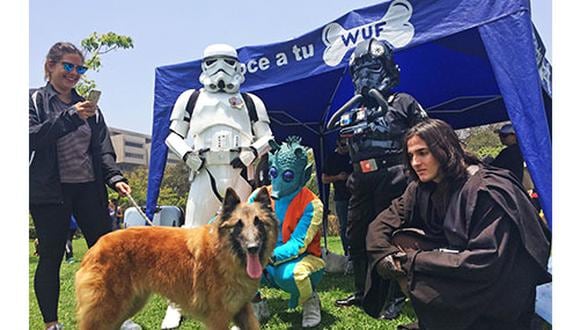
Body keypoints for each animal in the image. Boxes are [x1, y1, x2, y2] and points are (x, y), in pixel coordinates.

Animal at [74, 187, 276, 330]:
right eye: (239, 225)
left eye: (258, 222)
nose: (253, 248)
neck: (224, 253)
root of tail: (95, 247)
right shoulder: (218, 317)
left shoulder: (243, 309)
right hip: (107, 309)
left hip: (129, 305)